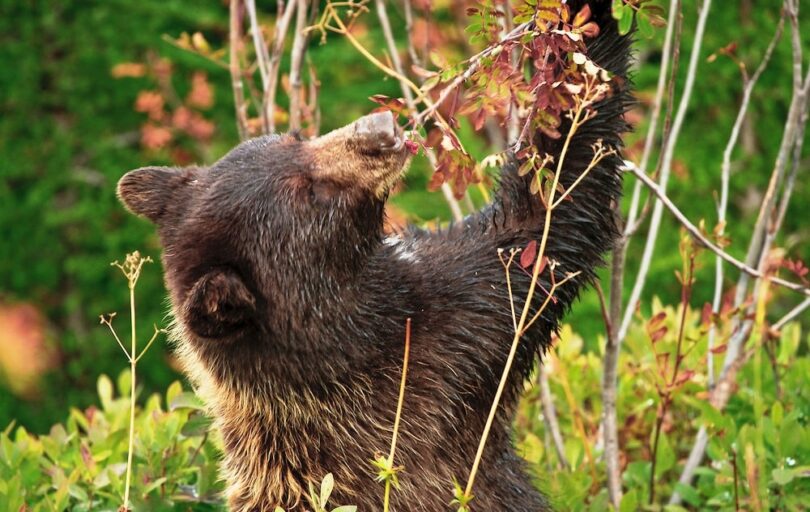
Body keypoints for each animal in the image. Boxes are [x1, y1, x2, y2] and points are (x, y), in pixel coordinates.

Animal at [115, 2, 632, 510]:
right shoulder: (449, 360)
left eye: (294, 137)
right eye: (309, 193)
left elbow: (542, 216)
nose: (378, 128)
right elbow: (552, 219)